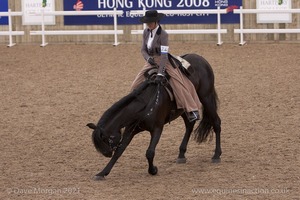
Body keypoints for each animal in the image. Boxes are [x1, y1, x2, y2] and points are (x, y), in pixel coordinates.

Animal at [86, 53, 220, 180]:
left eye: (106, 139)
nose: (106, 153)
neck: (144, 103)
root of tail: (200, 58)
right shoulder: (130, 130)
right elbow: (119, 150)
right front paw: (102, 173)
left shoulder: (157, 129)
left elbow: (149, 152)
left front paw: (153, 170)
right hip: (183, 108)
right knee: (189, 125)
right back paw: (181, 155)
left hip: (206, 98)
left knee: (216, 122)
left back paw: (217, 155)